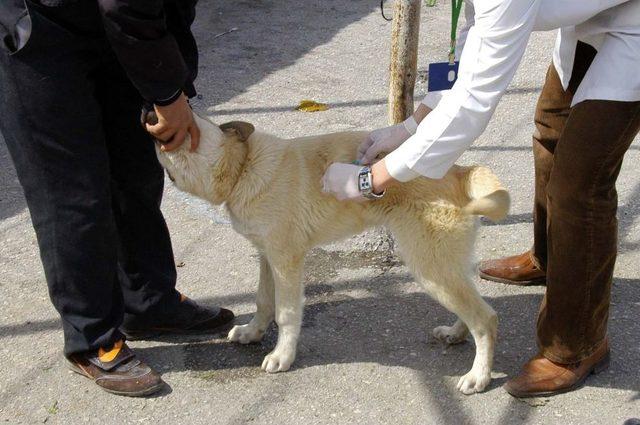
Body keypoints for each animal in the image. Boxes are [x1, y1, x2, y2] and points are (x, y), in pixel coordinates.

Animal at [159, 114, 510, 392]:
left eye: (187, 129)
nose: (150, 115)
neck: (245, 166)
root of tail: (460, 171)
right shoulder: (267, 256)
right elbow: (263, 301)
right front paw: (253, 332)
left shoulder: (286, 261)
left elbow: (286, 313)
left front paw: (282, 355)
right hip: (444, 265)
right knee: (473, 306)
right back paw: (455, 333)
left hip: (429, 267)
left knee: (486, 318)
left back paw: (479, 376)